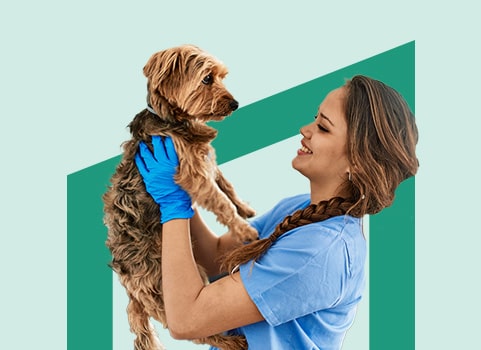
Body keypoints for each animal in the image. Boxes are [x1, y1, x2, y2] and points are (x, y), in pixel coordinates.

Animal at [102, 44, 258, 350]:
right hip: (162, 283)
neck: (174, 120)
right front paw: (244, 229)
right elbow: (221, 201)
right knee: (191, 330)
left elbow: (227, 186)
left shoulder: (207, 164)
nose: (235, 103)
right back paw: (231, 342)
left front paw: (245, 209)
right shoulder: (194, 175)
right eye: (207, 79)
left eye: (222, 77)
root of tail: (126, 283)